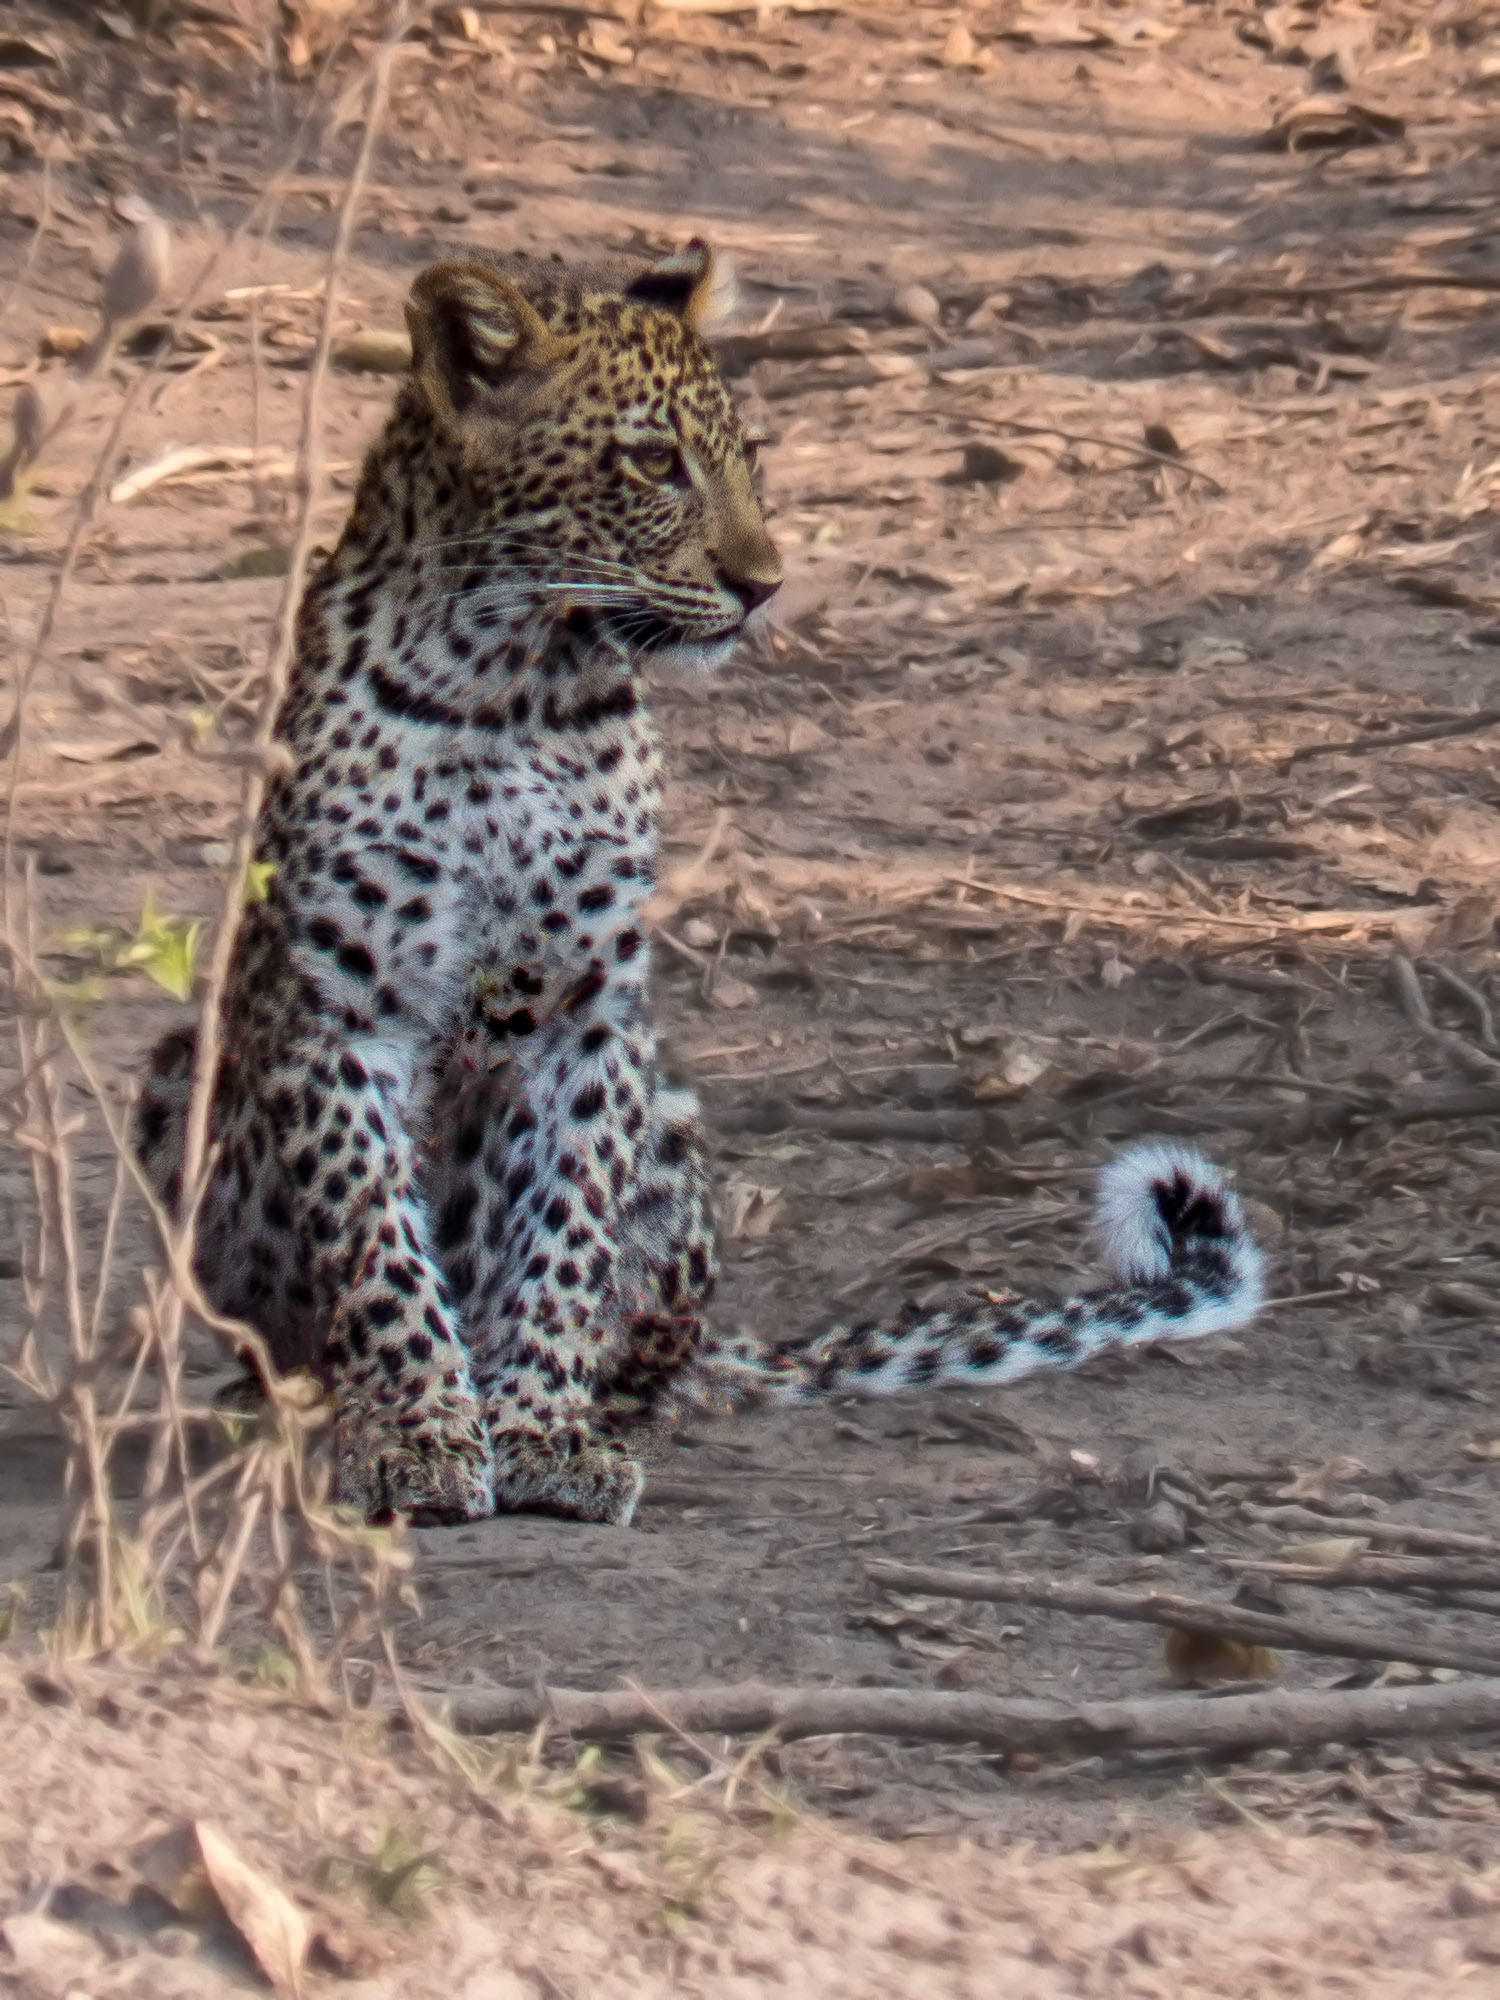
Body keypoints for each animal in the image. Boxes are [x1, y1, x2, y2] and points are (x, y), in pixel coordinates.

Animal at [134, 241, 1266, 1530]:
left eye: (747, 458)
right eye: (652, 462)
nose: (763, 584)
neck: (509, 687)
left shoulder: (587, 1014)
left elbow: (567, 1235)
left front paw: (542, 1431)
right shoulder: (338, 1005)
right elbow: (378, 1246)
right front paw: (418, 1431)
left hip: (671, 1120)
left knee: (654, 1351)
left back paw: (602, 1406)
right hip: (182, 1070)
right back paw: (291, 1402)